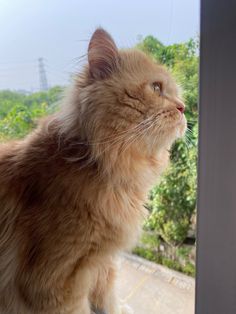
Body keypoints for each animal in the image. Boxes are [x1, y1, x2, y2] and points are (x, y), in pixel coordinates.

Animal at [0, 28, 186, 312]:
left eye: (177, 95)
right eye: (156, 88)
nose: (183, 108)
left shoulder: (102, 266)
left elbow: (107, 301)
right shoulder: (53, 284)